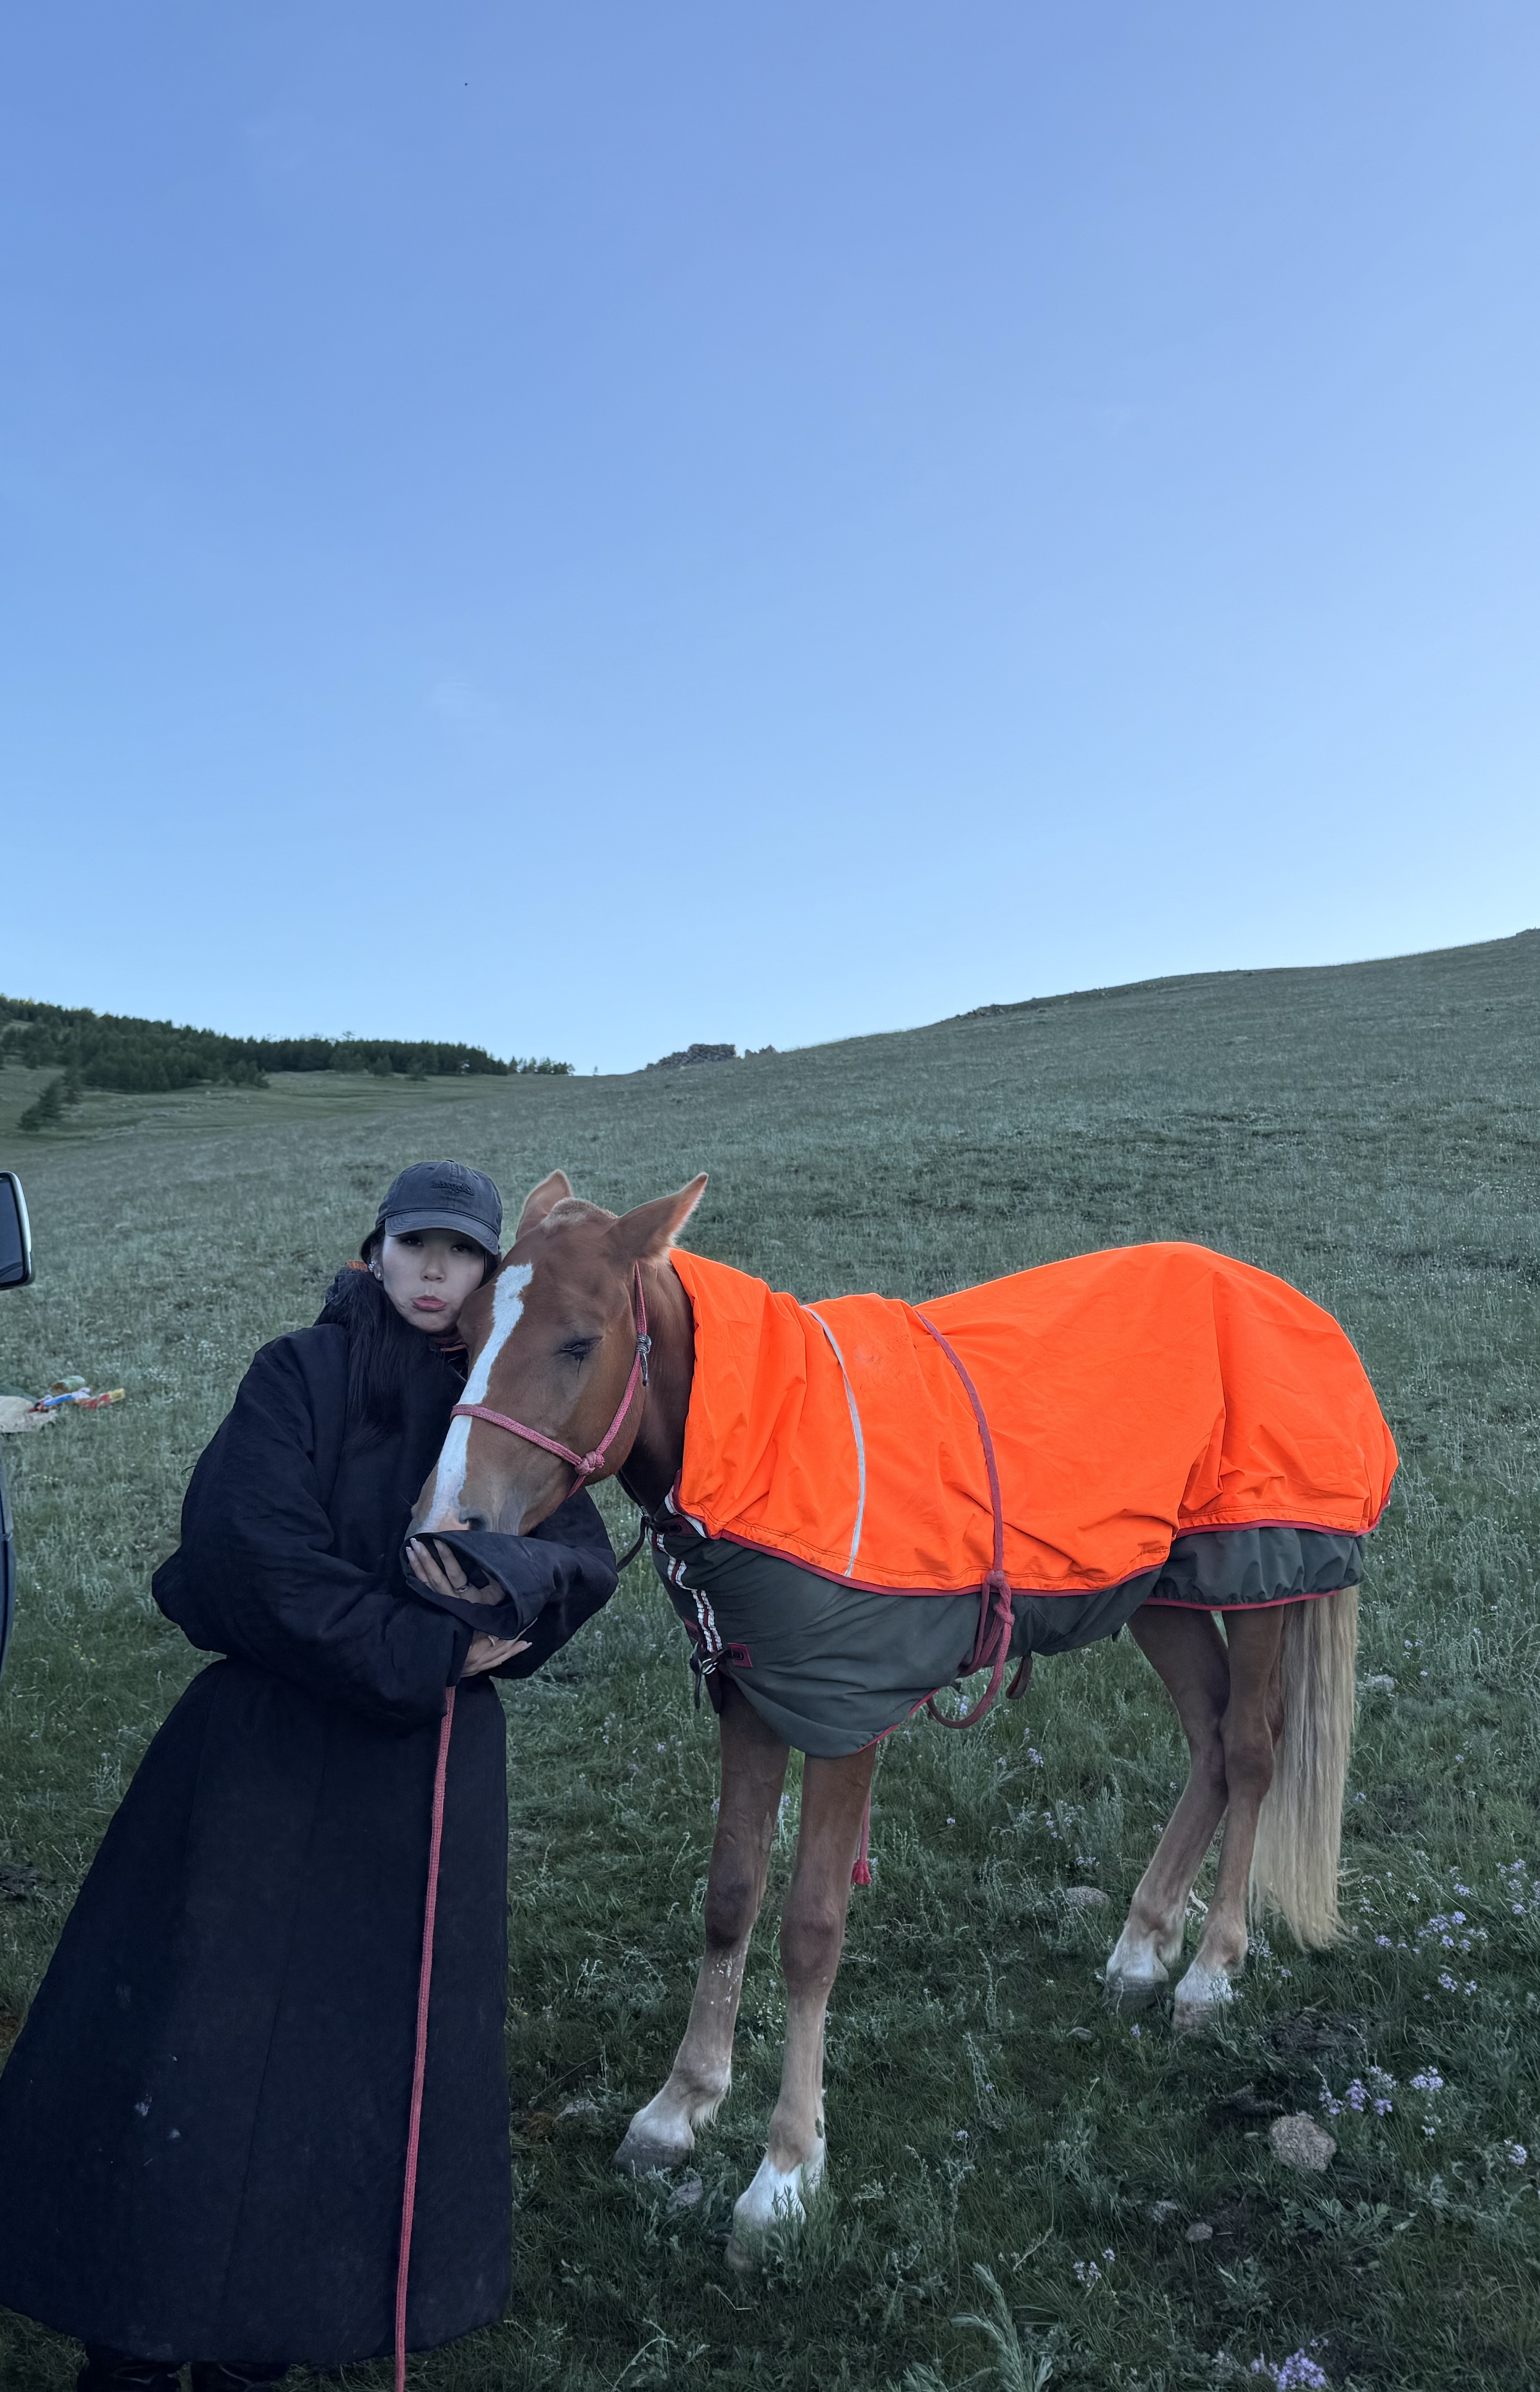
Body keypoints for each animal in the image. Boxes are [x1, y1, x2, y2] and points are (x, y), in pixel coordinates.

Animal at [408, 1172, 1391, 2267]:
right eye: (461, 1332)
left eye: (579, 1340)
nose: (444, 1538)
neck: (770, 1441)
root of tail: (1284, 1298)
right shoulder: (752, 1692)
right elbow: (729, 1897)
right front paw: (678, 2108)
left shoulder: (848, 1714)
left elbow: (810, 1927)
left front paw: (784, 2173)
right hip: (1155, 1588)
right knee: (1209, 1741)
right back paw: (1142, 1945)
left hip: (1259, 1569)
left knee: (1250, 1750)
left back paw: (1210, 1970)